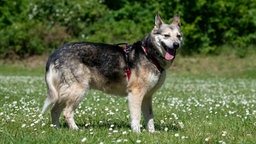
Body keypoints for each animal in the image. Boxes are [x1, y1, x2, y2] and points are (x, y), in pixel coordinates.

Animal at [41, 12, 182, 133]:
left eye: (179, 36)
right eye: (166, 35)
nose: (176, 45)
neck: (149, 54)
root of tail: (55, 53)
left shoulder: (147, 96)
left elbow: (150, 117)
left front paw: (151, 133)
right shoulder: (135, 93)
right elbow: (136, 117)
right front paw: (137, 133)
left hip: (64, 93)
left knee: (54, 111)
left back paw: (57, 129)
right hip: (78, 90)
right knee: (67, 113)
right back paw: (76, 130)